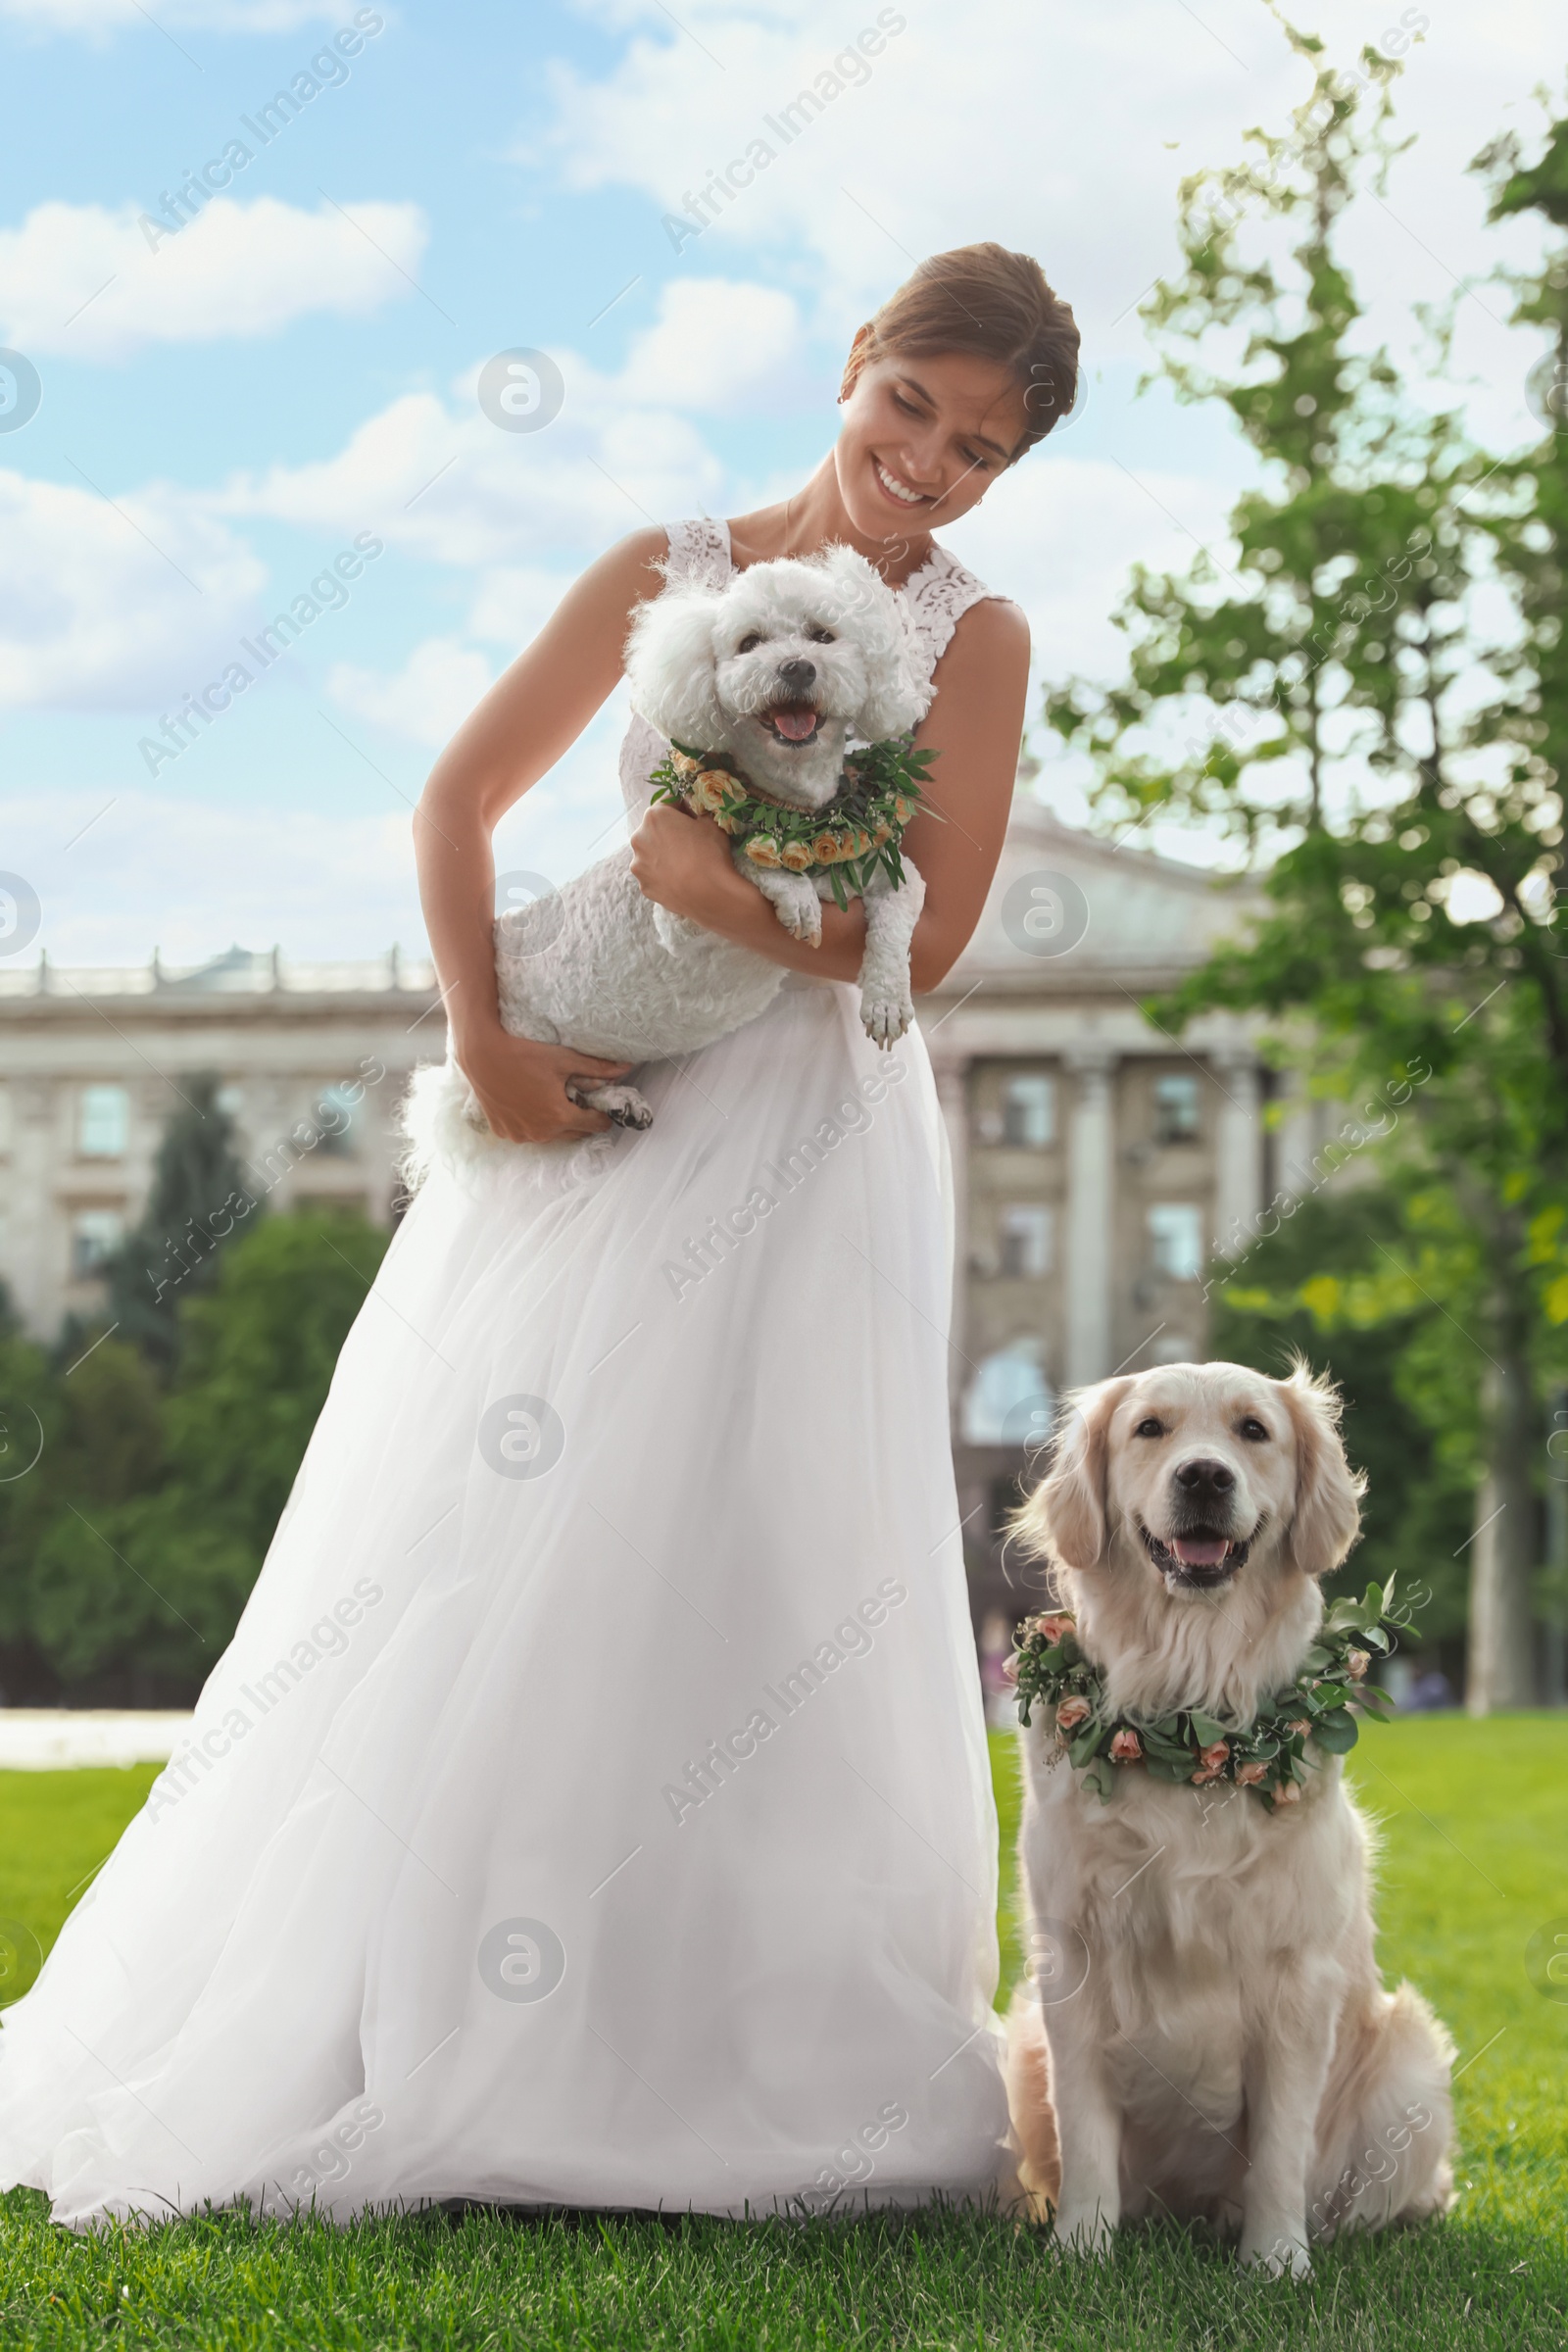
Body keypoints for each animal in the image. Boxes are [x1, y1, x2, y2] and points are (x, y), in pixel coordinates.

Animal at [404, 545, 930, 1176]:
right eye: (749, 642)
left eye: (824, 635)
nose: (797, 668)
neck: (791, 807)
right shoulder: (681, 915)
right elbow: (750, 862)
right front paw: (794, 891)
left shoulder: (881, 869)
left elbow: (901, 904)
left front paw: (886, 998)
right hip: (519, 1052)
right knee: (535, 1097)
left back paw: (619, 1100)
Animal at [1005, 1364, 1457, 2277]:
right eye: (1149, 1429)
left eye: (1254, 1431)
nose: (1205, 1477)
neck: (1189, 1714)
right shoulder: (1072, 1960)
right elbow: (1086, 2129)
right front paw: (1081, 2252)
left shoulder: (1298, 1978)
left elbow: (1281, 2144)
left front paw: (1276, 2261)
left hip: (1411, 2064)